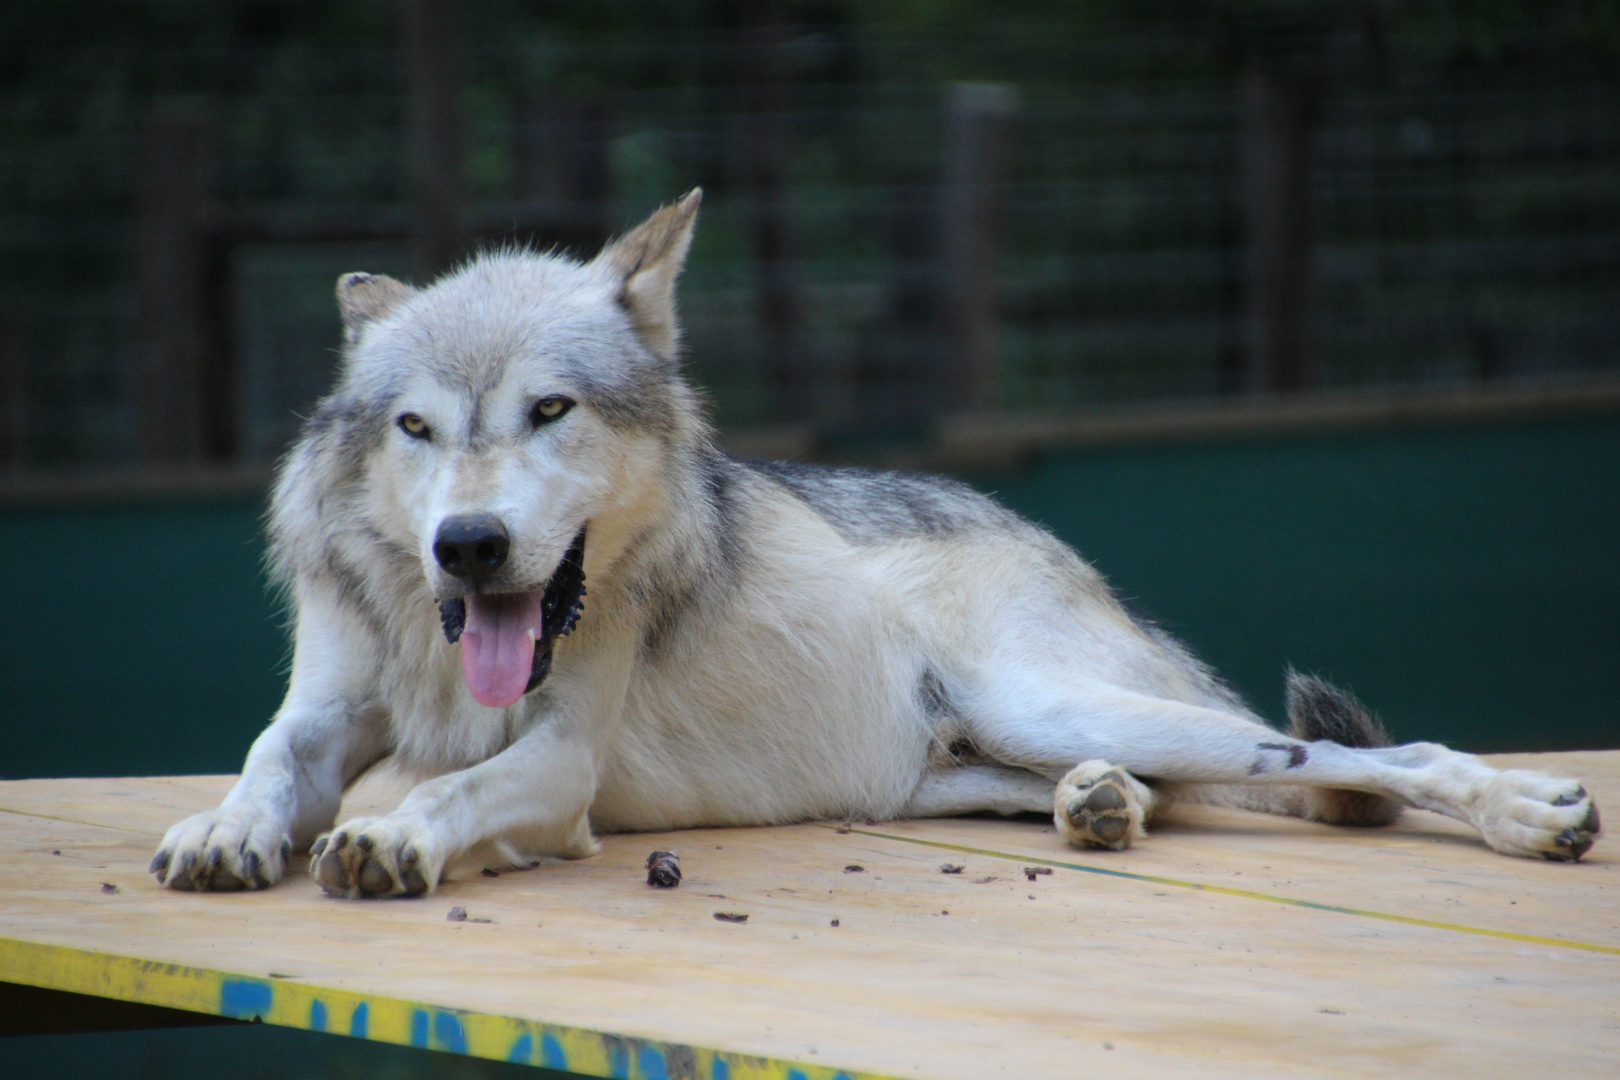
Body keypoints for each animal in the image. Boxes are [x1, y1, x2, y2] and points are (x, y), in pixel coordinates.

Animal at [145, 190, 1600, 900]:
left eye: (550, 411)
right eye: (415, 427)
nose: (468, 544)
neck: (445, 646)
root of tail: (1040, 532)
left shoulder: (560, 765)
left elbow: (449, 792)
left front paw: (389, 841)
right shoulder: (327, 707)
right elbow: (268, 758)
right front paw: (224, 830)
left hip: (1051, 699)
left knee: (1374, 758)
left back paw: (1531, 814)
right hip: (945, 765)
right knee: (1136, 786)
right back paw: (1101, 804)